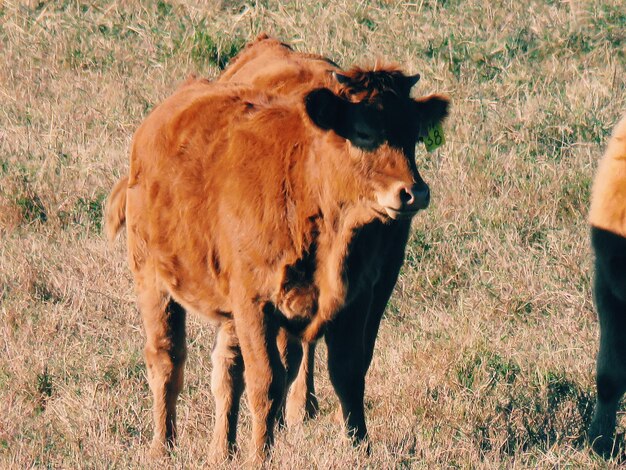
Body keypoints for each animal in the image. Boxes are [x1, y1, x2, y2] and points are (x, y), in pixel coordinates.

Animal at [107, 45, 446, 462]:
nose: (414, 193)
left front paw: (360, 447)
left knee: (226, 370)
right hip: (153, 282)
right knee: (166, 360)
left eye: (414, 134)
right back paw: (163, 447)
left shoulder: (357, 299)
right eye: (364, 132)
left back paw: (222, 451)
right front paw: (261, 455)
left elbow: (348, 372)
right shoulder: (256, 304)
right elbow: (267, 382)